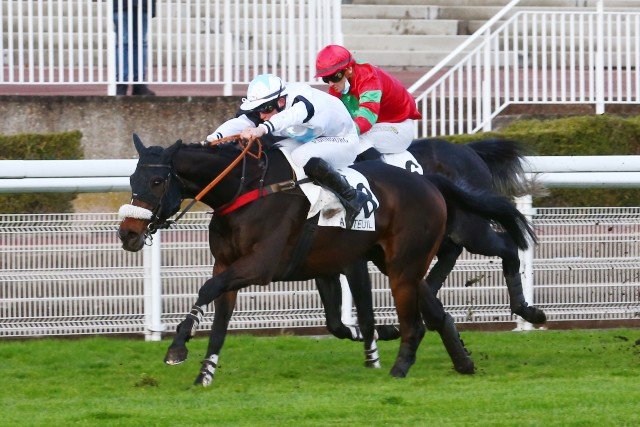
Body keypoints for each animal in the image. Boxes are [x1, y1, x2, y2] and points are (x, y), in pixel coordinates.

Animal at [118, 134, 478, 385]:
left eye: (157, 181)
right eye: (132, 180)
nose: (128, 234)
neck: (244, 190)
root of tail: (428, 180)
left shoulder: (260, 266)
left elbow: (207, 289)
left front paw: (177, 346)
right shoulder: (227, 265)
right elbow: (219, 320)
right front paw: (205, 372)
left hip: (404, 264)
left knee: (414, 322)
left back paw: (399, 368)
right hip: (390, 260)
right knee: (431, 307)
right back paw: (462, 360)